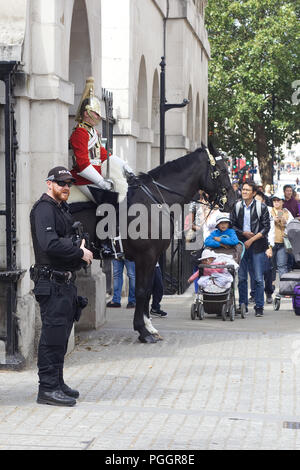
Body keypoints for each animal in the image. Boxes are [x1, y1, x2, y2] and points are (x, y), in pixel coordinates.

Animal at [69, 143, 234, 342]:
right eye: (223, 170)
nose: (233, 200)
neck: (155, 200)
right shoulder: (145, 257)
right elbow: (141, 291)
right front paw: (143, 331)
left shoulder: (152, 257)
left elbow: (147, 291)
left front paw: (149, 327)